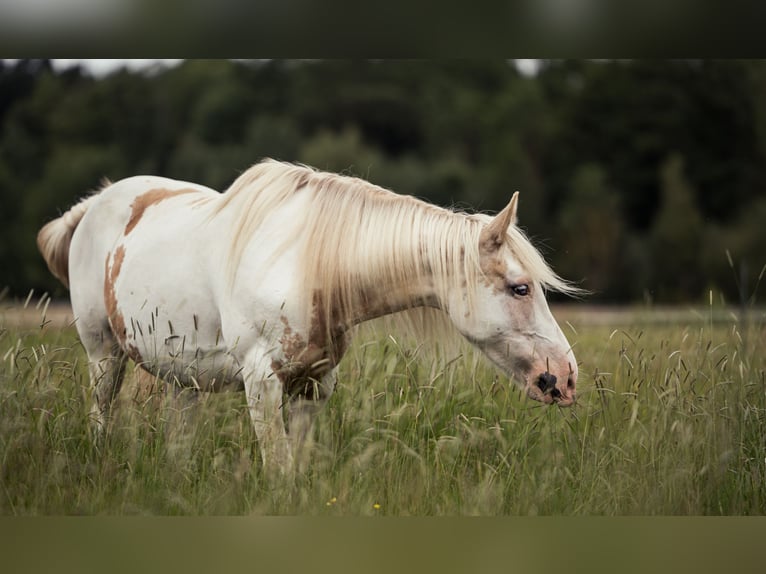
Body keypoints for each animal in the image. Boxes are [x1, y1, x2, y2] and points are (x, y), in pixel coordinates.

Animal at [37, 159, 580, 473]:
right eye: (520, 287)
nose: (564, 376)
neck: (308, 266)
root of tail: (93, 205)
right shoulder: (261, 382)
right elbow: (278, 470)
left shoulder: (314, 385)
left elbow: (296, 469)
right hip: (103, 354)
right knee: (100, 413)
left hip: (182, 375)